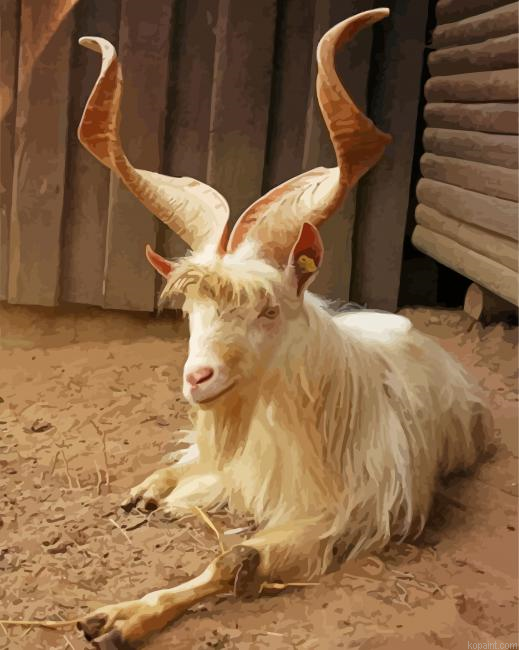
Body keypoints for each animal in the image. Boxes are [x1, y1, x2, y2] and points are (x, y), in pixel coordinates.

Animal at [75, 9, 485, 648]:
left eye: (268, 309)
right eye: (189, 312)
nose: (197, 378)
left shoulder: (338, 521)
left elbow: (235, 560)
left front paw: (120, 618)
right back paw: (150, 489)